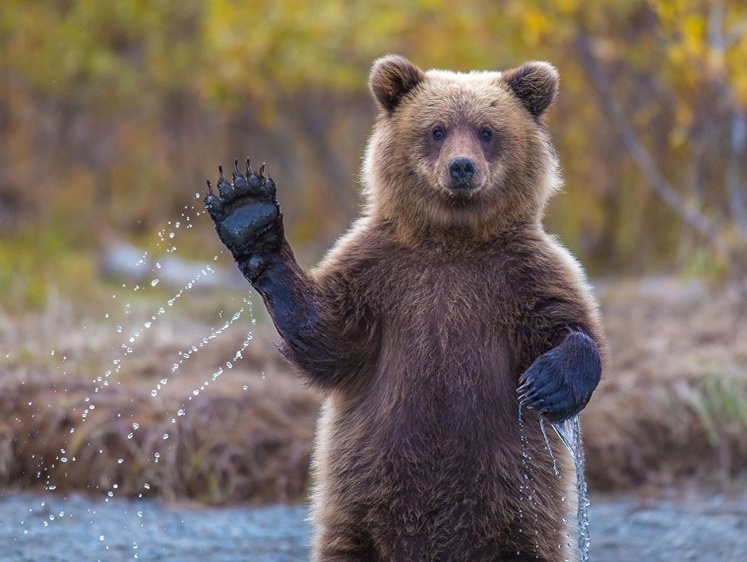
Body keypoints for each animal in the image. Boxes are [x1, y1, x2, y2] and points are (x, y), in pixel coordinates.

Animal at [203, 53, 608, 560]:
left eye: (487, 130)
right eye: (437, 129)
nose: (461, 167)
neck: (452, 239)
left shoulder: (522, 273)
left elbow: (570, 323)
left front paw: (548, 382)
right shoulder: (380, 273)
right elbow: (329, 339)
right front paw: (248, 211)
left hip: (518, 511)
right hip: (358, 508)